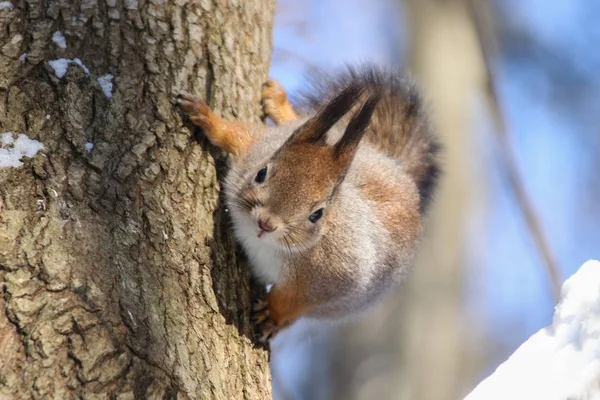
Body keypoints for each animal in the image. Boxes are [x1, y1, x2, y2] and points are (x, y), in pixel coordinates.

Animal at [176, 65, 442, 344]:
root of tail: (396, 169)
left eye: (317, 214)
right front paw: (204, 115)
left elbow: (296, 301)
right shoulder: (255, 149)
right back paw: (280, 105)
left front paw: (273, 314)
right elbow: (235, 135)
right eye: (261, 173)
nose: (266, 223)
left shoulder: (341, 279)